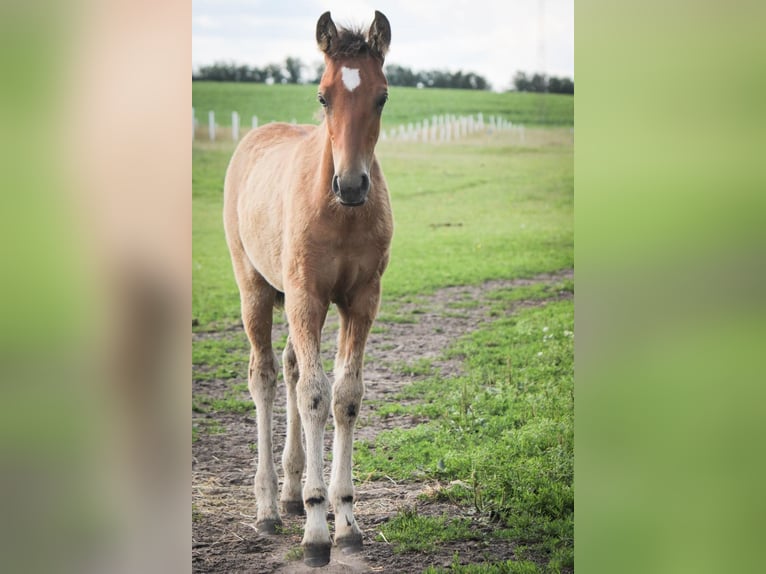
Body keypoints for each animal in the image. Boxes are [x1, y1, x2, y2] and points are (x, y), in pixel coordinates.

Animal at [222, 11, 393, 568]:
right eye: (323, 96)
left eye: (382, 96)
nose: (353, 185)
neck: (339, 213)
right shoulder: (305, 298)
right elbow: (315, 397)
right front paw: (319, 534)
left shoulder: (360, 302)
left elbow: (345, 396)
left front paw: (346, 521)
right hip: (256, 289)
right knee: (266, 377)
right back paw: (268, 509)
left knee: (293, 369)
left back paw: (293, 495)